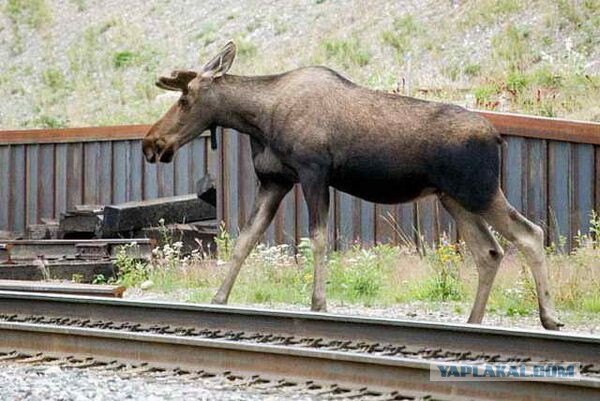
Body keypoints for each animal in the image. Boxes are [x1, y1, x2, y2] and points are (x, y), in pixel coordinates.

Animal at [142, 40, 564, 330]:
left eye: (185, 99)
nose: (151, 143)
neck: (258, 120)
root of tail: (497, 138)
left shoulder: (314, 172)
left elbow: (319, 238)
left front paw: (318, 303)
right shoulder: (275, 181)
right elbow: (245, 240)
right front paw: (218, 299)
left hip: (479, 190)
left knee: (529, 233)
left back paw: (549, 317)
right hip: (454, 198)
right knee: (489, 251)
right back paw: (473, 322)